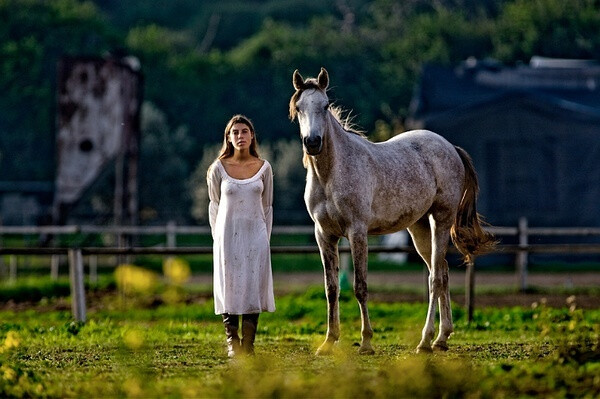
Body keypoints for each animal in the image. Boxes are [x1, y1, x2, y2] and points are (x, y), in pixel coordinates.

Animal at [288, 67, 494, 354]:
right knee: (441, 272)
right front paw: (329, 341)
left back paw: (425, 341)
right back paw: (441, 338)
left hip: (440, 221)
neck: (330, 174)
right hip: (419, 228)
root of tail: (450, 147)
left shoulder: (357, 233)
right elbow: (331, 289)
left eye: (325, 105)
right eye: (299, 107)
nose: (313, 142)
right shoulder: (324, 235)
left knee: (435, 279)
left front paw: (366, 341)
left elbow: (360, 287)